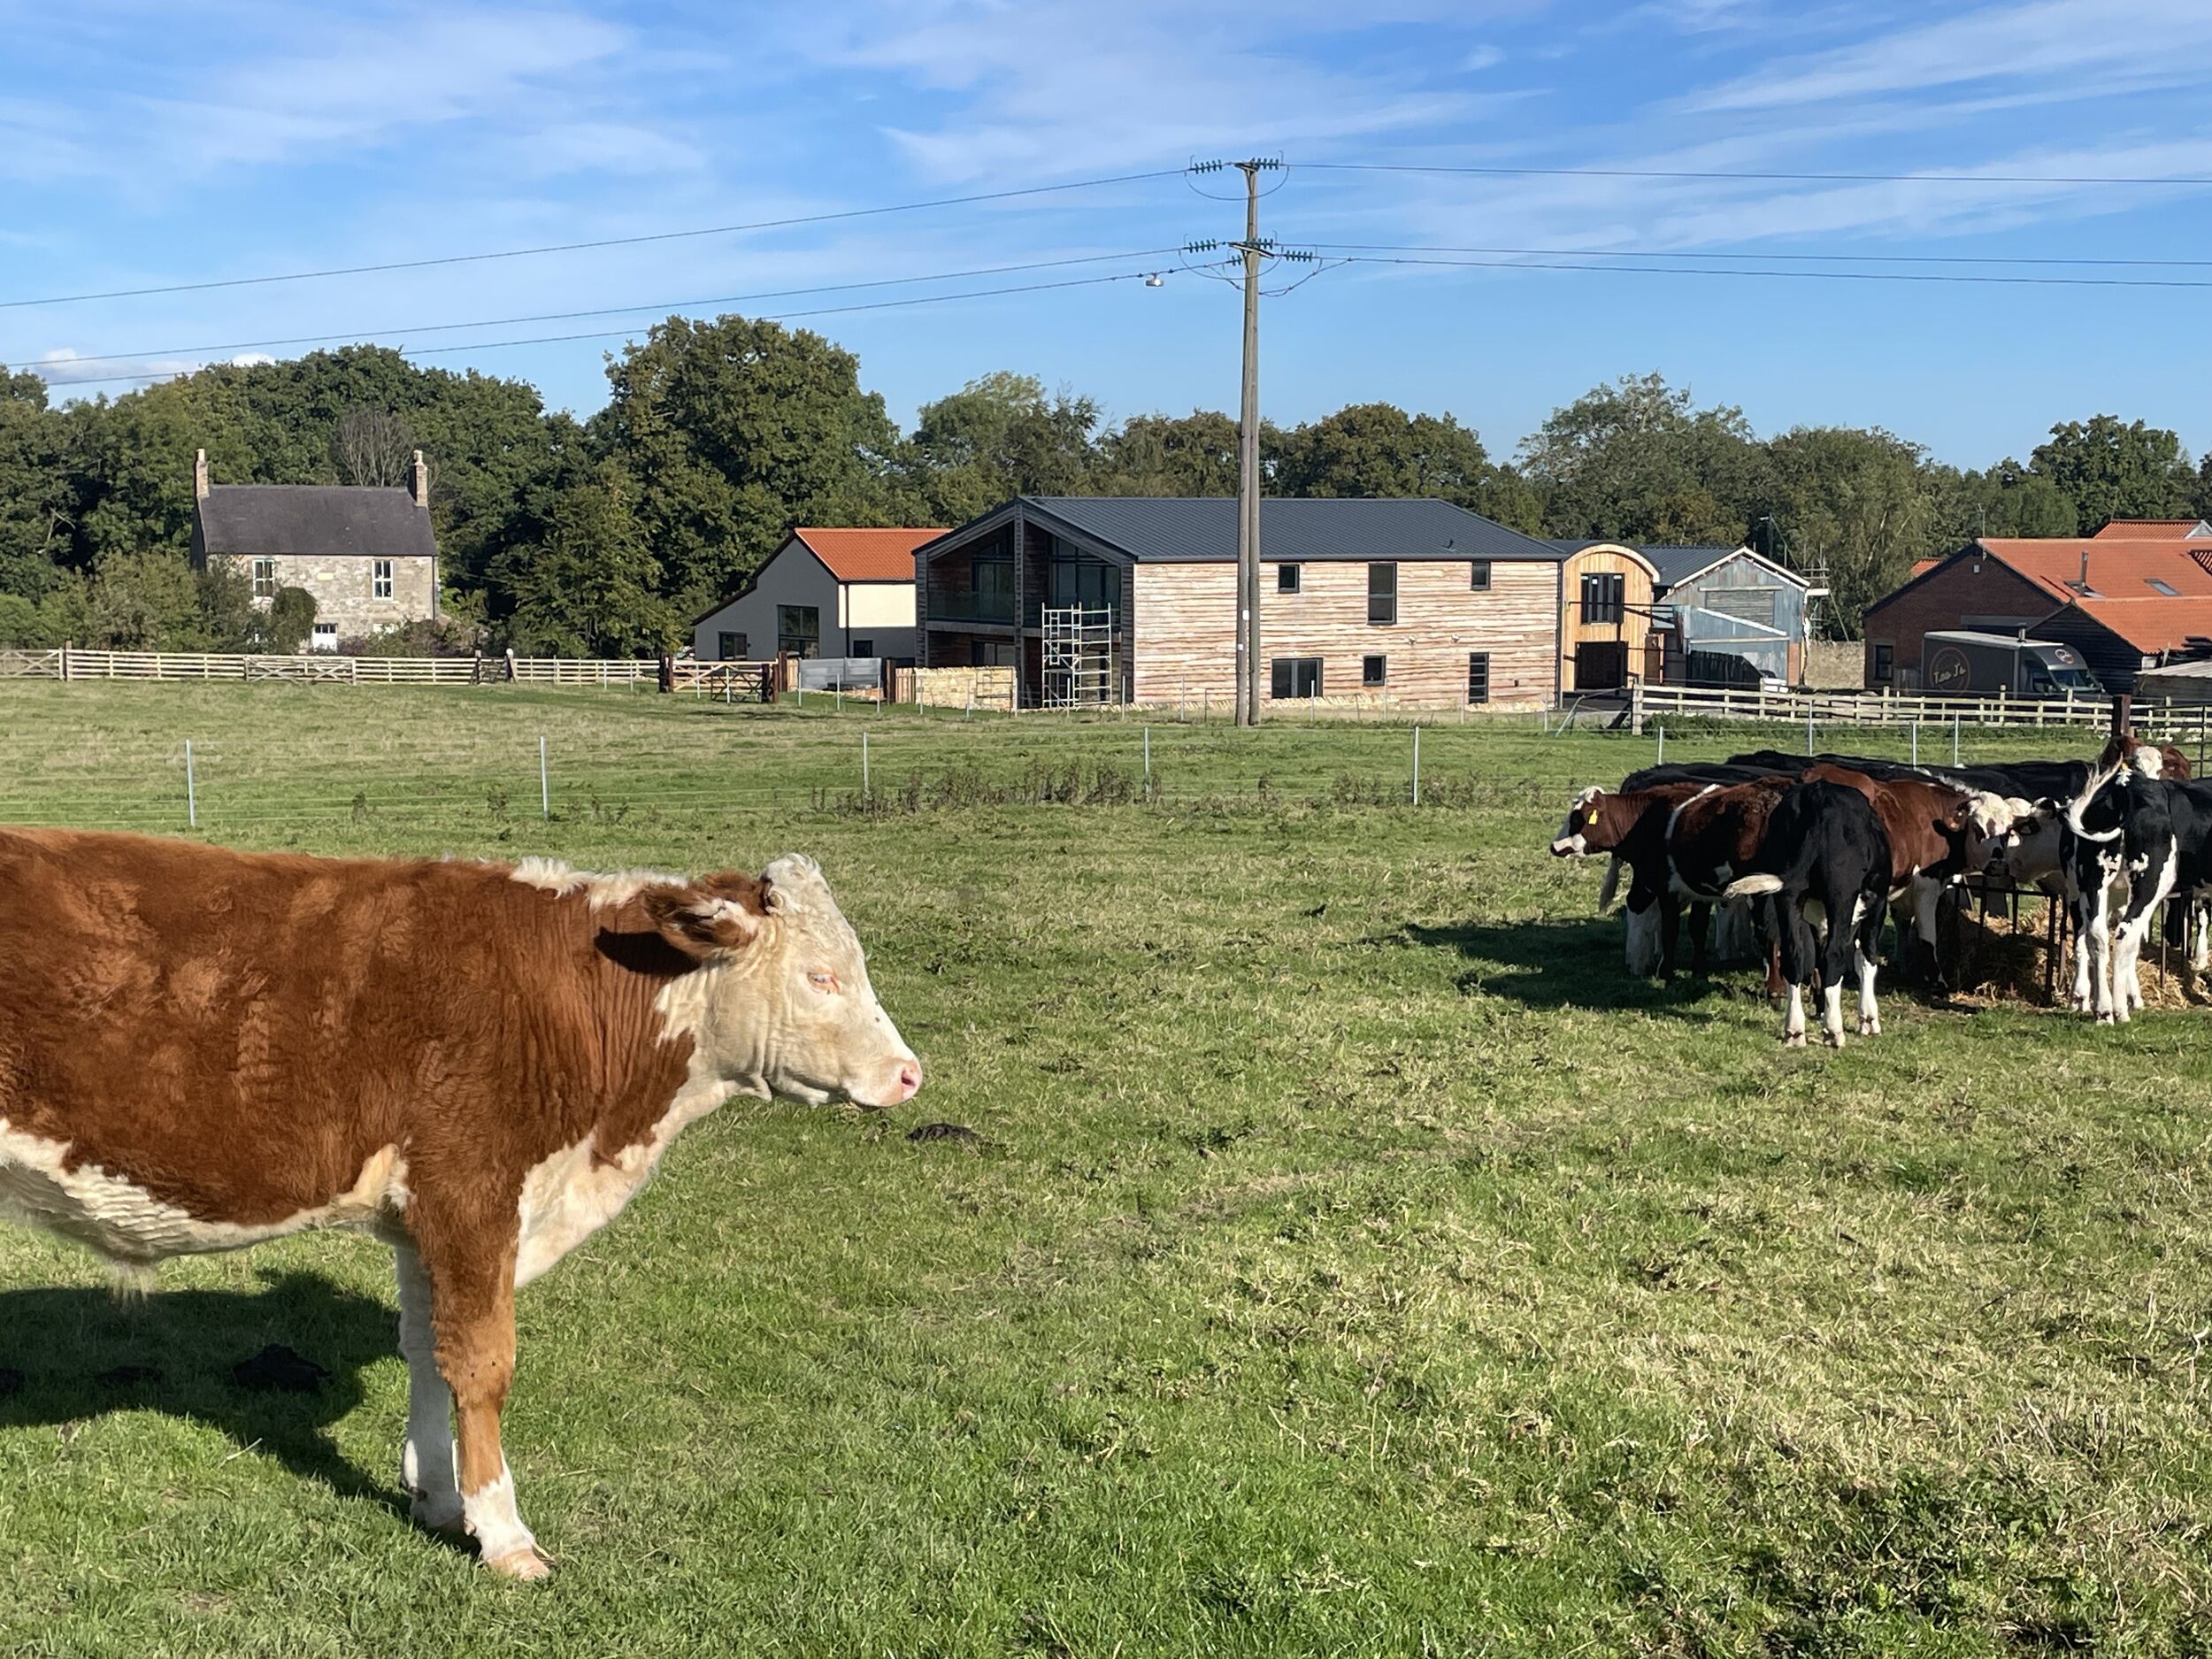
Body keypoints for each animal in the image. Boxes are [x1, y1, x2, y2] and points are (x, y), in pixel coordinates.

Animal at [0, 831, 923, 1579]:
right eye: (821, 976)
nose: (911, 1074)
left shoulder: (422, 1217)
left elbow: (425, 1349)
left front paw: (441, 1500)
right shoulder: (475, 1193)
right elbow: (483, 1364)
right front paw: (505, 1535)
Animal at [1724, 780, 1893, 1047]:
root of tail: (1817, 796)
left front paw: (1821, 1008)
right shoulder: (1877, 905)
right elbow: (1866, 959)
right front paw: (1868, 1019)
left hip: (1788, 896)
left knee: (1794, 957)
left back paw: (1794, 1031)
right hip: (1841, 894)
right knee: (1835, 955)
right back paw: (1834, 1032)